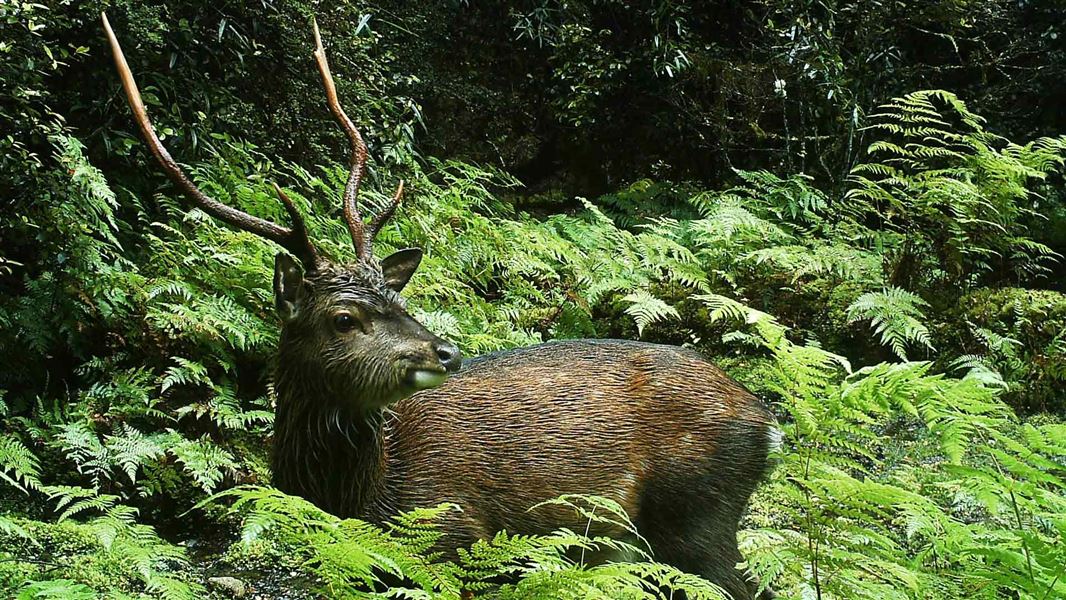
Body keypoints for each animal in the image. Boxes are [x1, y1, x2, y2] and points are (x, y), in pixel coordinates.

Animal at [102, 13, 779, 599]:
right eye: (344, 318)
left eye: (396, 298)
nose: (445, 353)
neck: (362, 499)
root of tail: (764, 421)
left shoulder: (454, 537)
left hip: (696, 516)